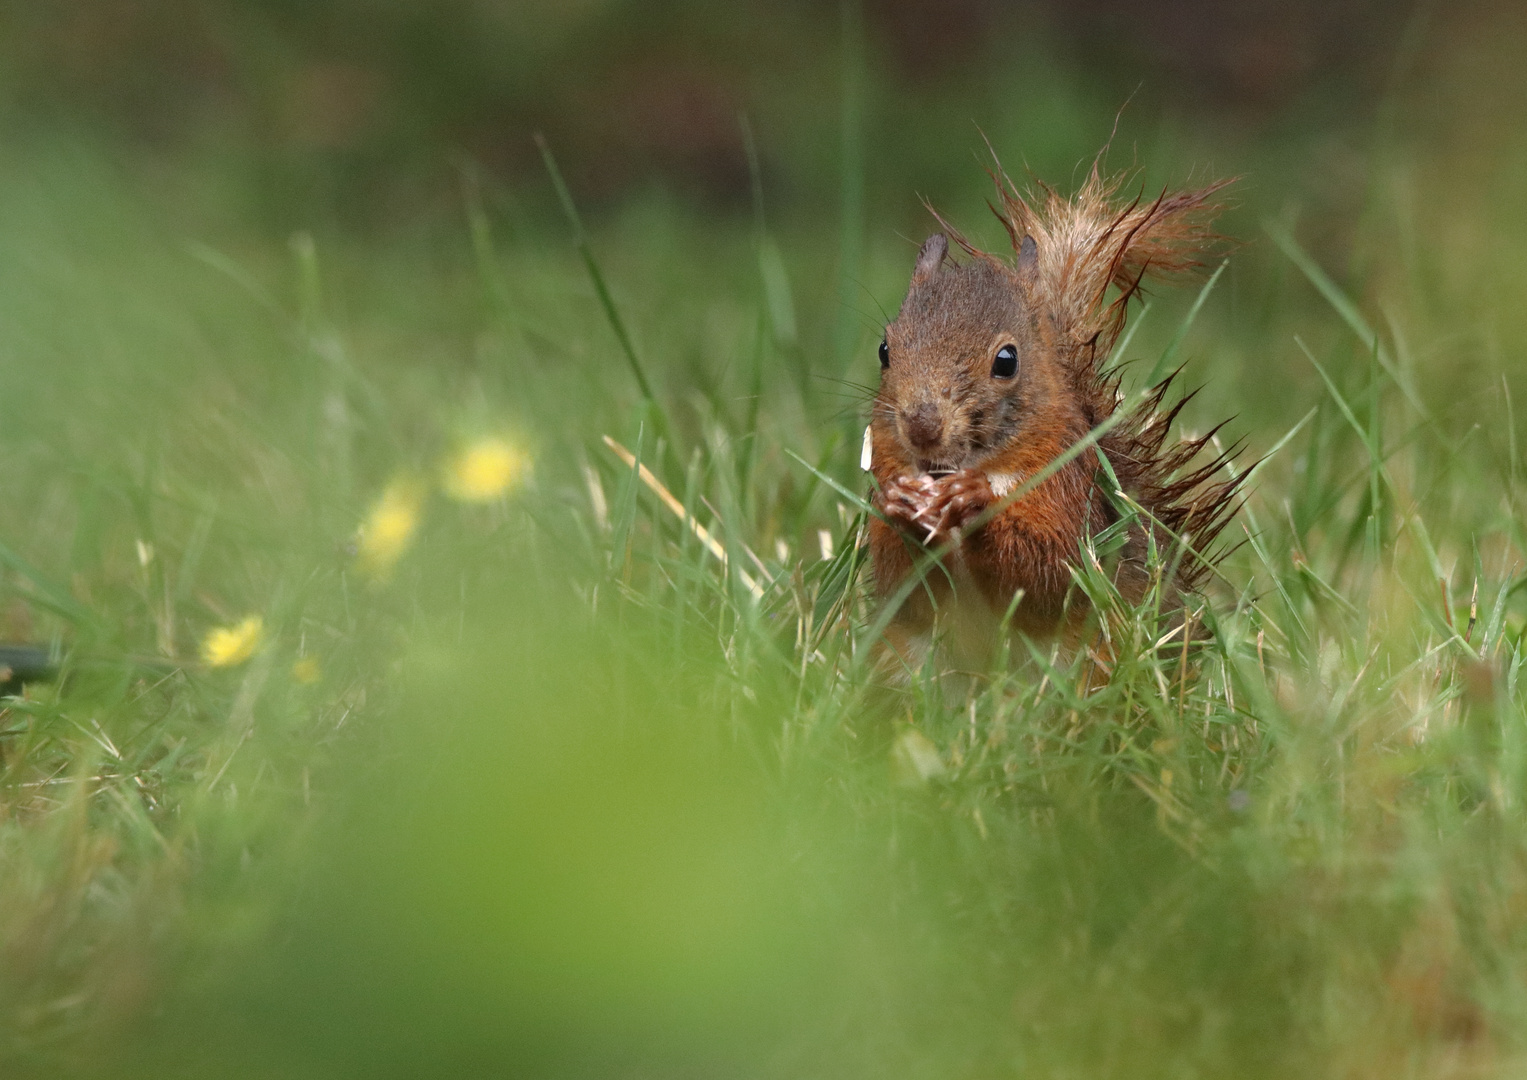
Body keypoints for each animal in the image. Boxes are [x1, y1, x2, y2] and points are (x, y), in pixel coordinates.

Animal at [867, 160, 1246, 666]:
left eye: (1006, 360)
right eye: (885, 350)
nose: (922, 427)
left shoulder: (1066, 490)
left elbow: (1051, 573)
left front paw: (975, 503)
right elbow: (903, 588)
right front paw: (901, 509)